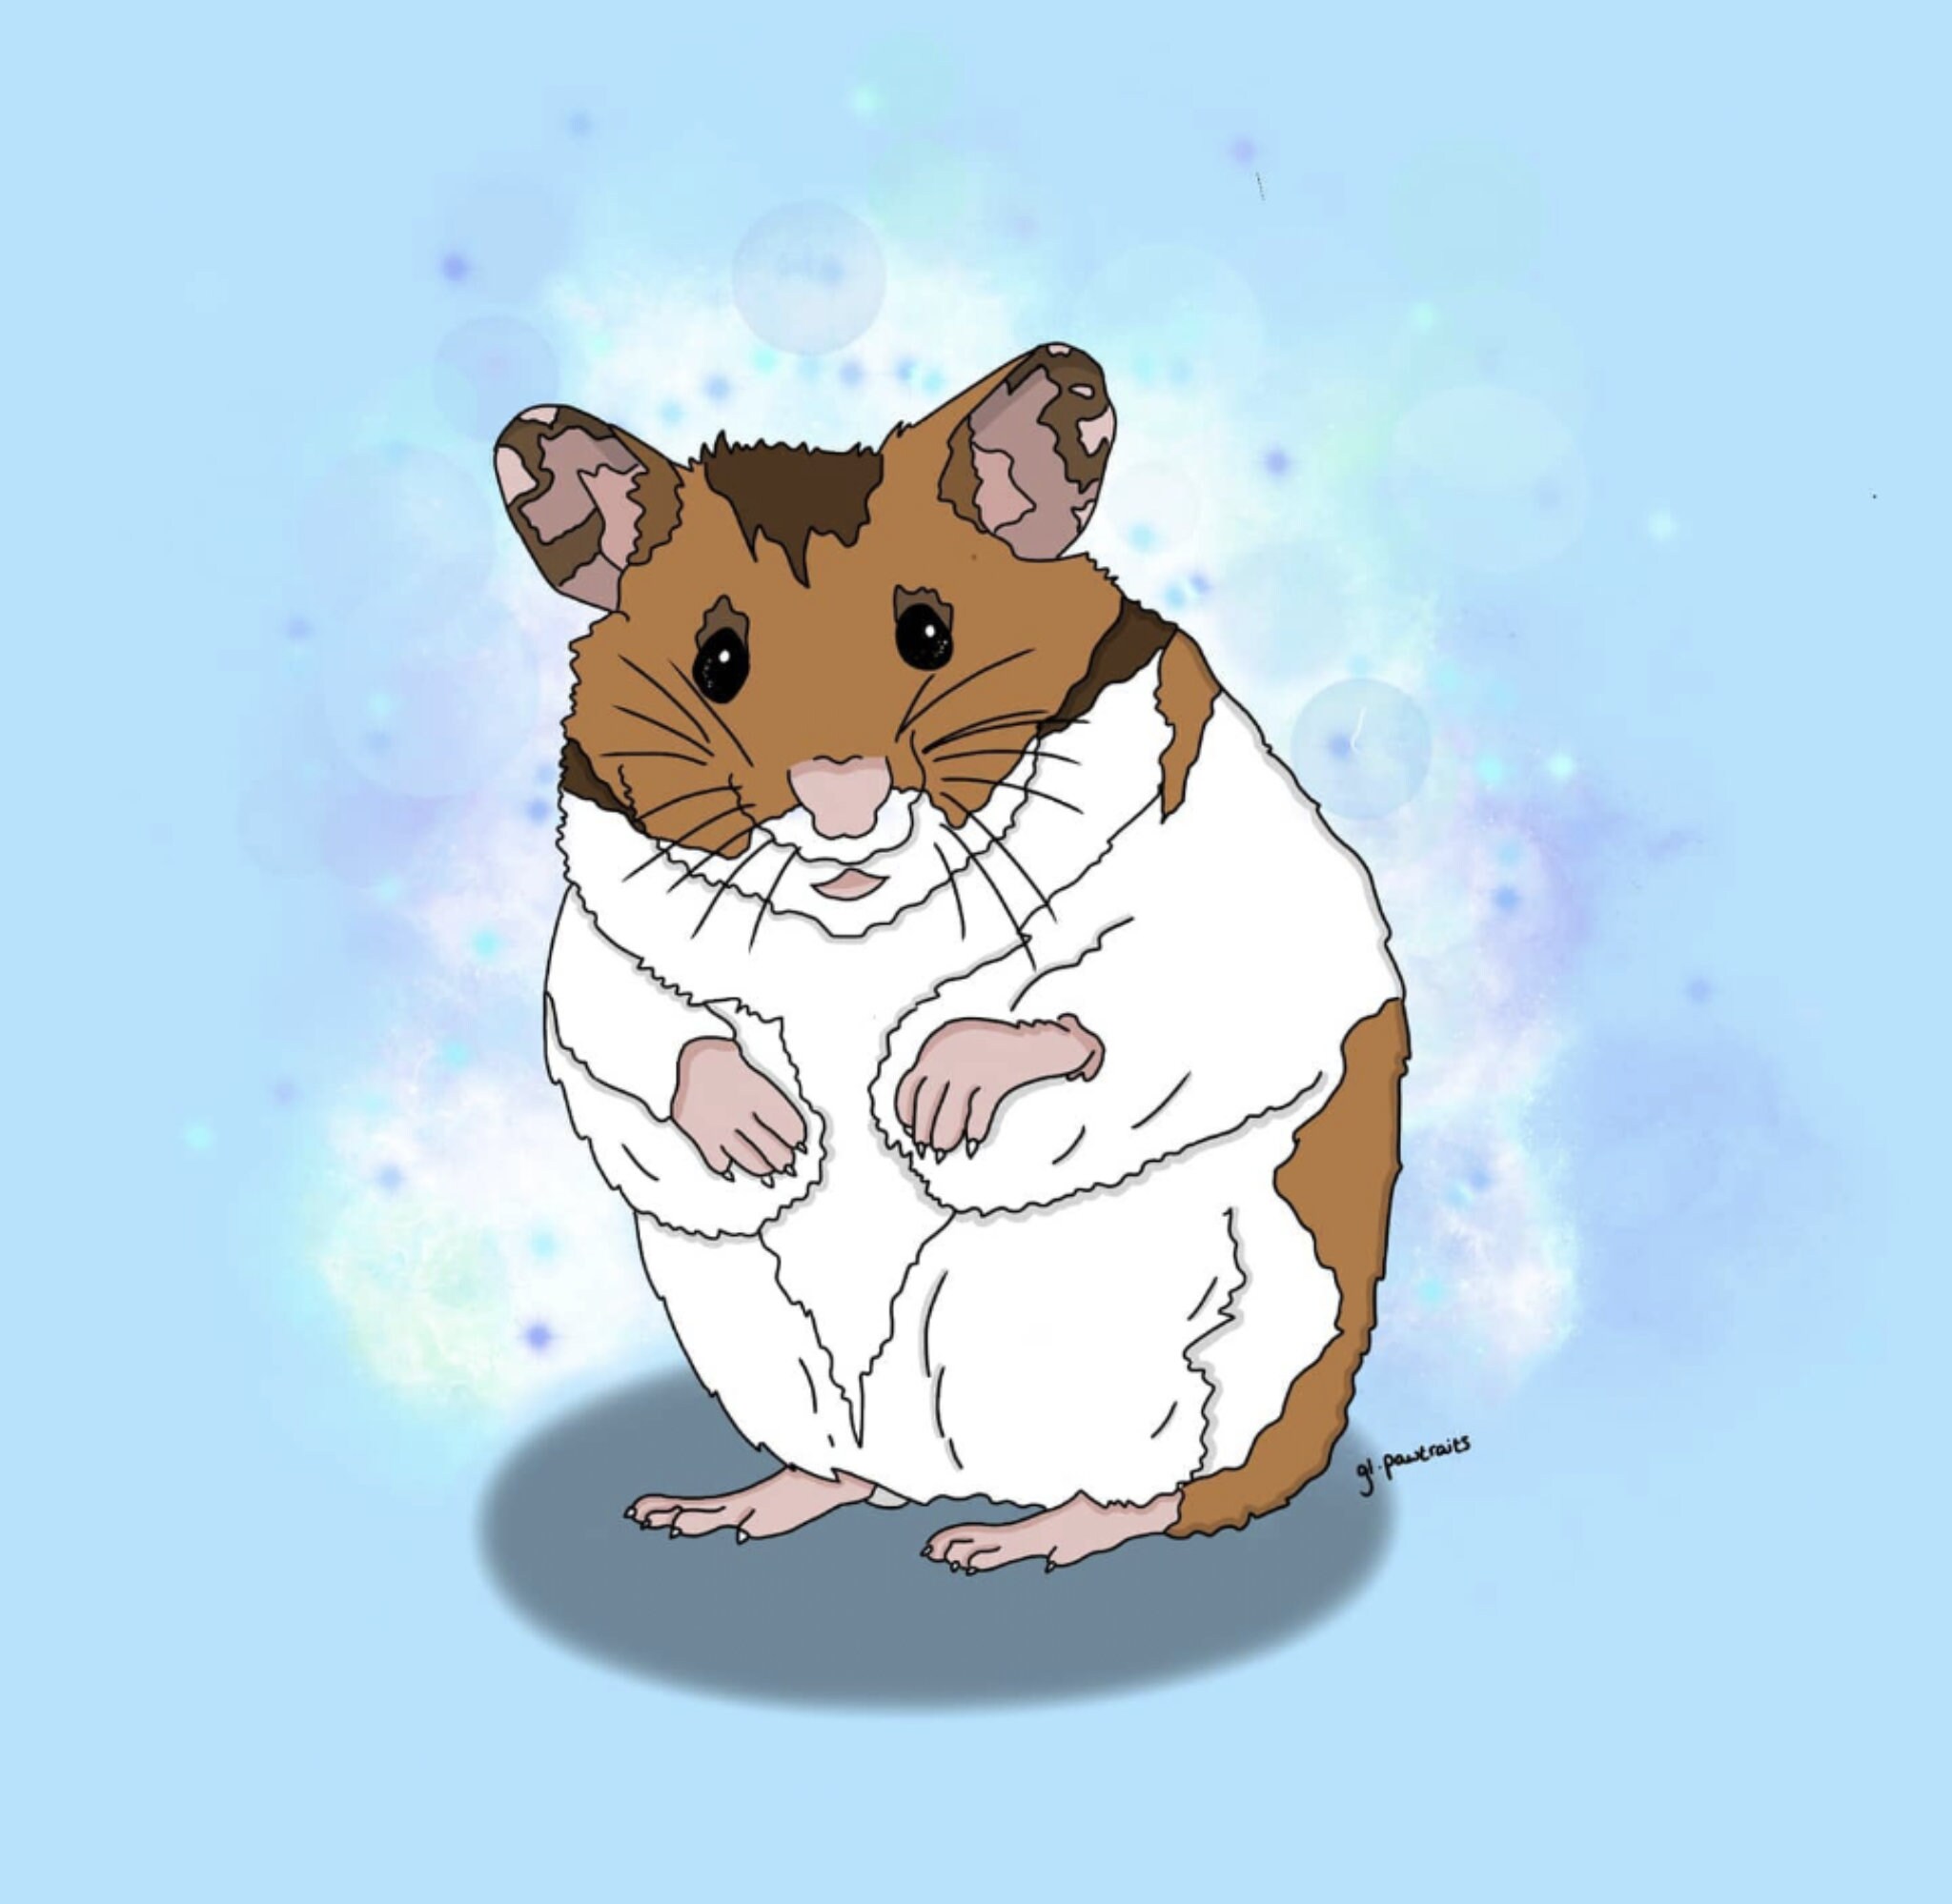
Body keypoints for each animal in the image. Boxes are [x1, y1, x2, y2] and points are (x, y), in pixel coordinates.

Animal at [494, 343, 1410, 1573]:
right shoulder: (597, 931)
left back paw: (1005, 1541)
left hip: (1145, 1340)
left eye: (927, 633)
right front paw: (768, 1137)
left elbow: (1114, 995)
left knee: (1155, 1493)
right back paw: (720, 1510)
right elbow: (640, 1022)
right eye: (716, 661)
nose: (841, 804)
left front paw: (927, 1104)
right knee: (841, 1468)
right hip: (753, 1334)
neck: (852, 920)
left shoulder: (1230, 870)